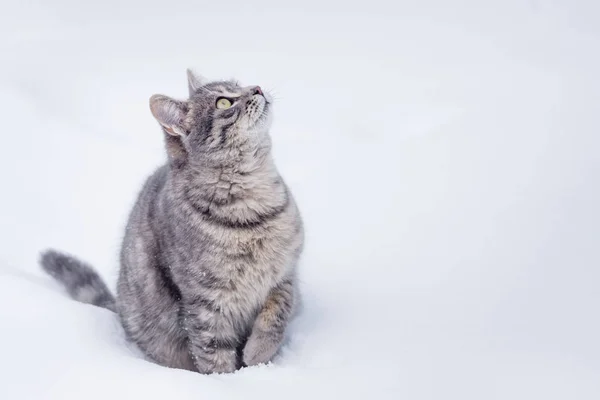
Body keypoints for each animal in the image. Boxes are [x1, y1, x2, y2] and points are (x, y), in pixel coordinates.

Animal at [40, 70, 304, 374]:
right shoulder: (204, 304)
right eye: (224, 102)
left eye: (239, 84)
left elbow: (276, 316)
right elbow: (214, 355)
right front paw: (230, 380)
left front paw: (259, 356)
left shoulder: (285, 274)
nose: (257, 88)